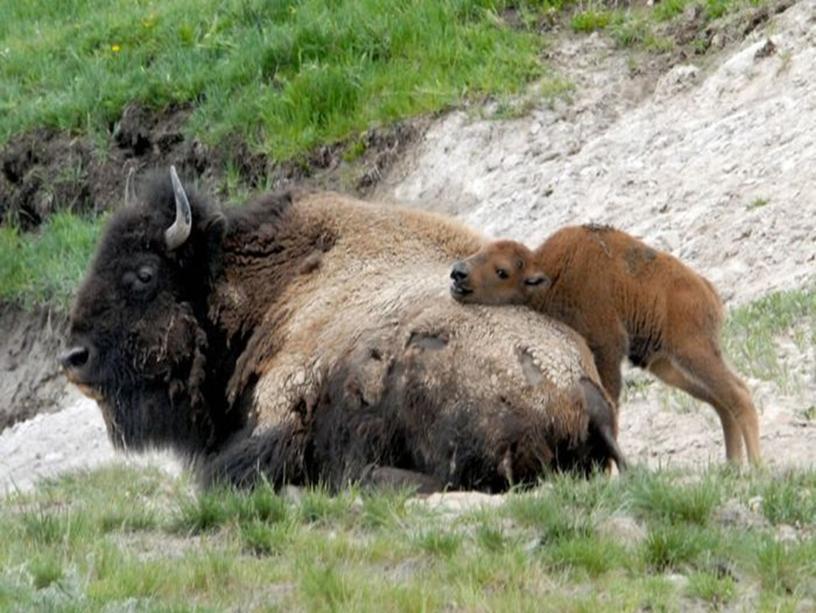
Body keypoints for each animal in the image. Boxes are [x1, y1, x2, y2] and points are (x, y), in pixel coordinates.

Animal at [450, 225, 760, 464]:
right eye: (481, 253)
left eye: (501, 271)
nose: (457, 273)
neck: (552, 276)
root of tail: (707, 289)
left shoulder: (606, 353)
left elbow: (610, 409)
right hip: (667, 366)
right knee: (721, 403)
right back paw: (732, 468)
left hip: (694, 353)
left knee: (738, 395)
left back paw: (757, 469)